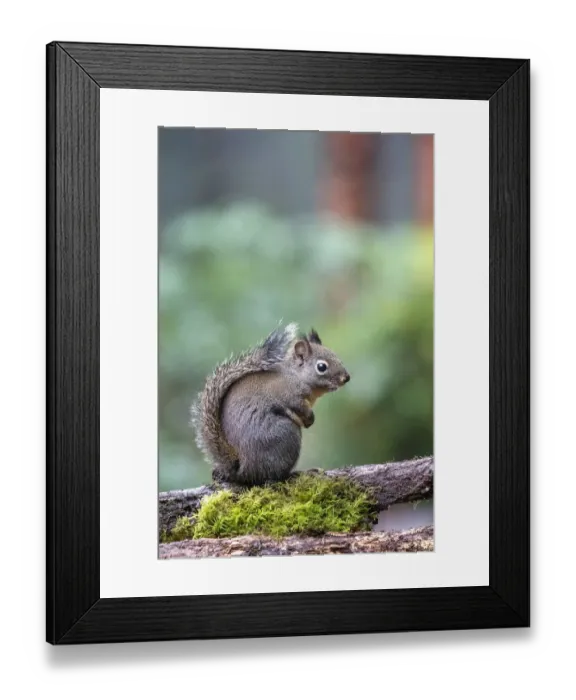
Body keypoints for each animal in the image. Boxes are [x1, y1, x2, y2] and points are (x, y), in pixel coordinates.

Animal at [190, 323, 350, 486]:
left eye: (336, 355)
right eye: (321, 367)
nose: (346, 377)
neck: (296, 376)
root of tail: (242, 471)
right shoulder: (289, 395)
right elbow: (298, 406)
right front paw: (310, 418)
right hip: (285, 435)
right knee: (274, 475)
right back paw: (294, 474)